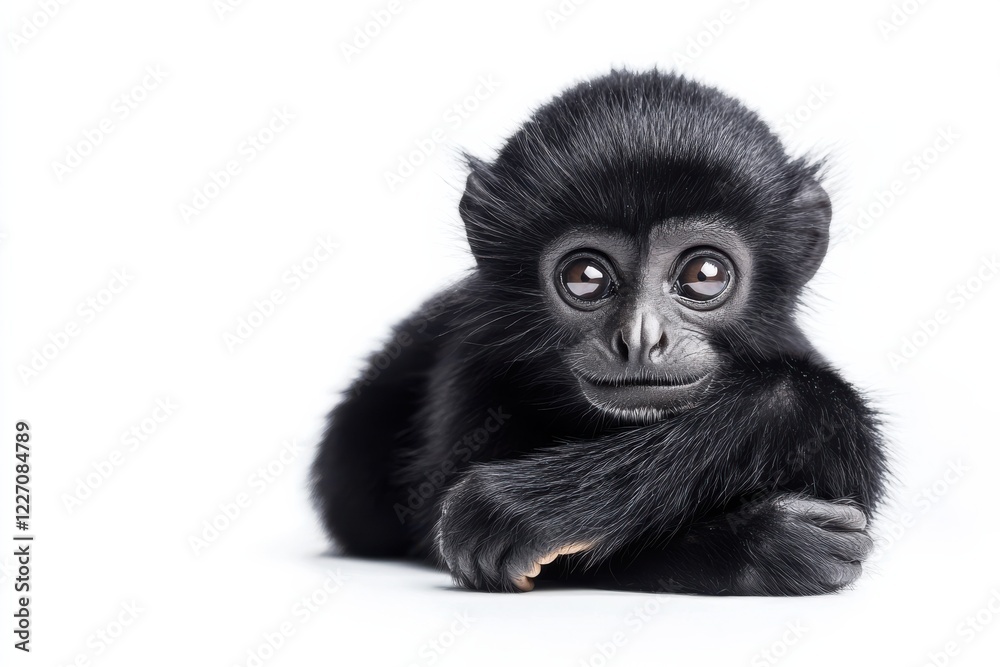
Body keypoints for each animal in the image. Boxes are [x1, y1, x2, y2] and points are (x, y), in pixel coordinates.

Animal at [311, 69, 888, 595]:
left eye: (704, 275)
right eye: (584, 277)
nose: (640, 339)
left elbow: (818, 409)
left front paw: (523, 507)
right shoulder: (472, 361)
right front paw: (772, 544)